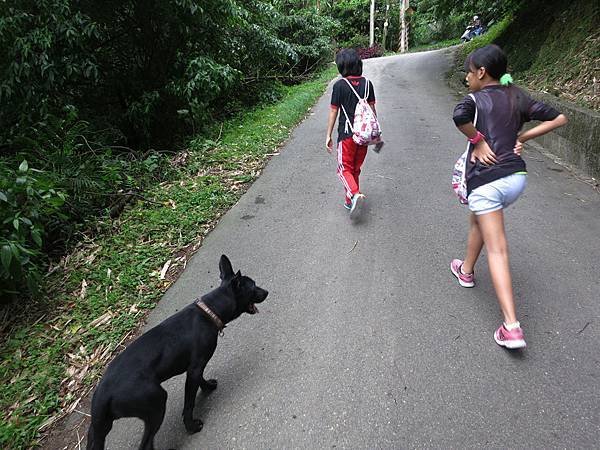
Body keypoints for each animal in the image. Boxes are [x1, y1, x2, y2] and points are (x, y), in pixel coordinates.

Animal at [85, 255, 268, 448]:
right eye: (253, 286)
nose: (267, 292)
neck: (209, 312)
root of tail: (102, 397)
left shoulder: (193, 368)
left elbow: (200, 380)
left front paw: (208, 387)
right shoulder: (195, 367)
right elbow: (189, 403)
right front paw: (191, 426)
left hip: (98, 431)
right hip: (156, 402)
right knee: (146, 443)